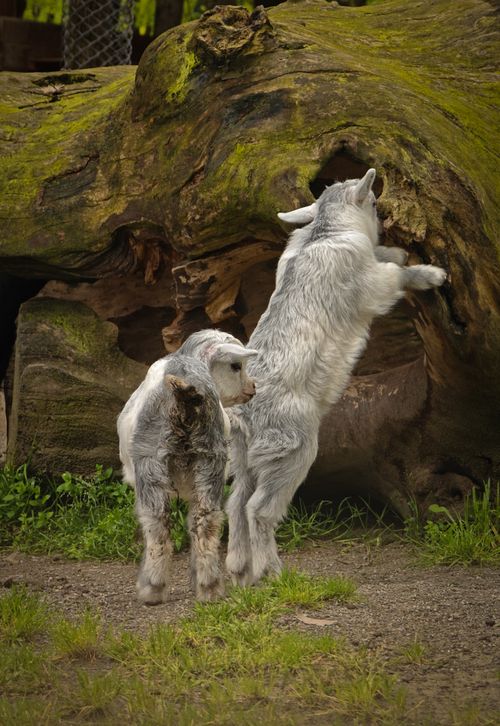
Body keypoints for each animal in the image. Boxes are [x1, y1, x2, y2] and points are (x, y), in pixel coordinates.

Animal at [117, 330, 257, 603]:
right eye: (236, 366)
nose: (253, 387)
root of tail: (184, 390)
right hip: (210, 458)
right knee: (206, 521)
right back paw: (210, 587)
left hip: (150, 460)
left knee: (156, 524)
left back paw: (152, 588)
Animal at [226, 168, 446, 586]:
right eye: (373, 202)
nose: (382, 222)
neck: (324, 232)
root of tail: (241, 412)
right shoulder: (373, 287)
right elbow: (397, 276)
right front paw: (432, 273)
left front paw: (397, 252)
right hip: (293, 449)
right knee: (258, 509)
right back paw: (272, 573)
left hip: (247, 457)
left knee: (235, 503)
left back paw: (239, 570)